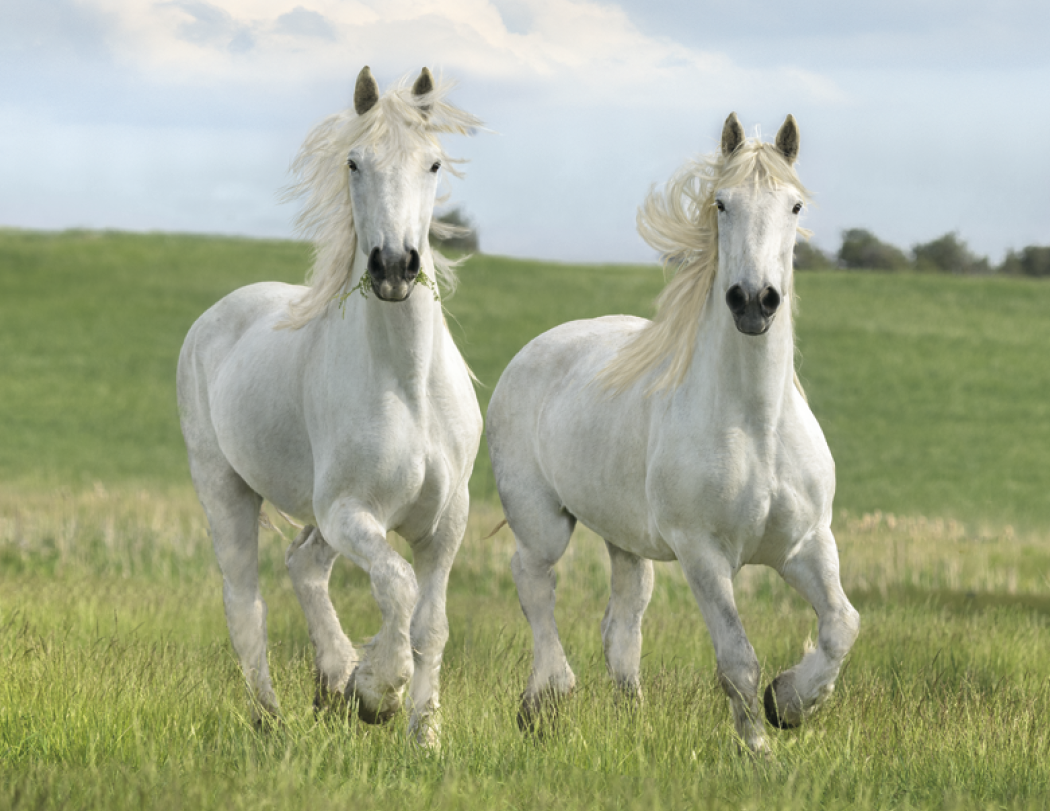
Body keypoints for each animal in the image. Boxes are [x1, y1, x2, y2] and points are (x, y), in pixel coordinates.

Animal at [177, 67, 483, 746]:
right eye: (354, 163)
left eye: (433, 162)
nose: (394, 267)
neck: (408, 384)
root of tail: (214, 317)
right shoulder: (349, 511)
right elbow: (396, 585)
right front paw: (376, 693)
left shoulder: (445, 524)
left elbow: (432, 623)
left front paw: (424, 736)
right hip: (225, 489)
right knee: (247, 603)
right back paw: (275, 718)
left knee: (304, 564)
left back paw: (331, 681)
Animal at [486, 113, 860, 754]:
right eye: (722, 204)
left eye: (794, 205)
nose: (754, 302)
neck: (756, 424)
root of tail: (535, 348)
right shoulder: (702, 554)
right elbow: (737, 659)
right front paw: (759, 751)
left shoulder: (807, 543)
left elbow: (841, 626)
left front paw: (789, 703)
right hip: (542, 521)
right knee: (535, 584)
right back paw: (546, 701)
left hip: (626, 538)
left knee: (621, 625)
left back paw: (630, 720)